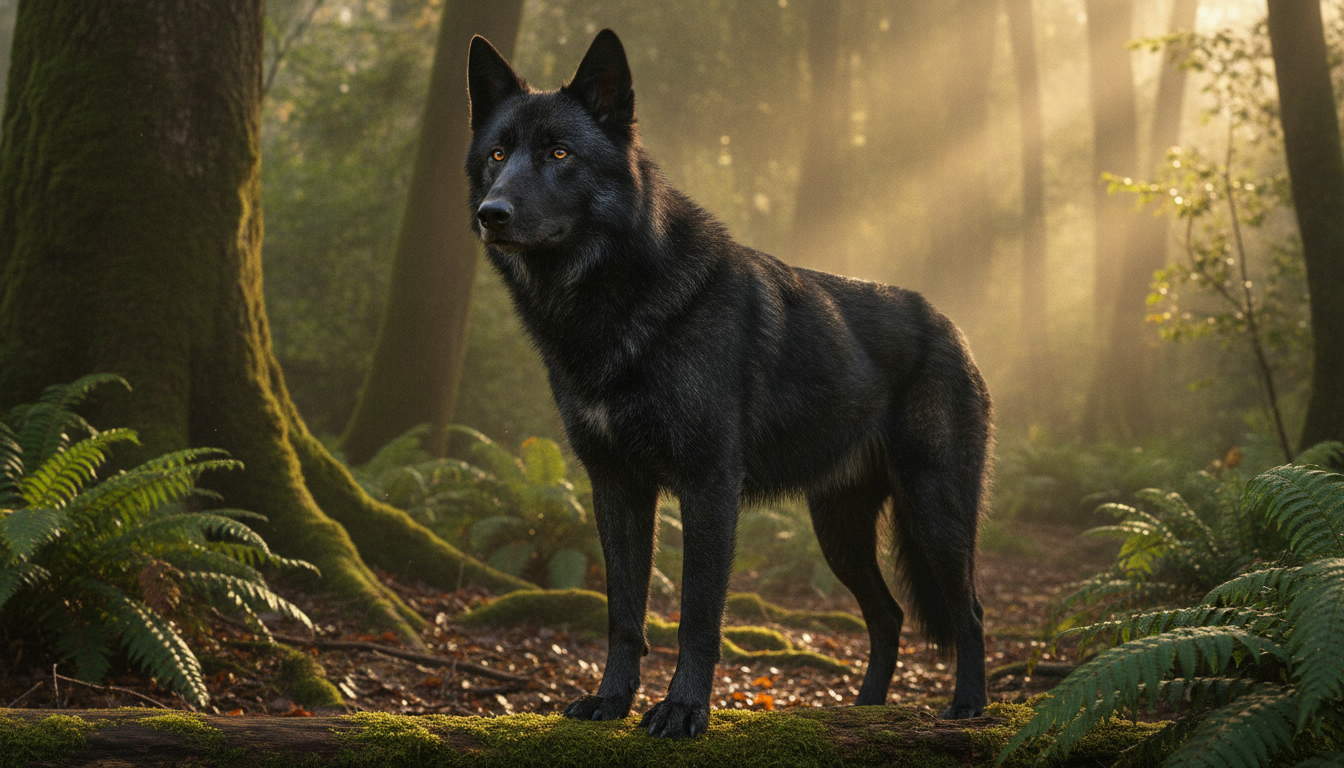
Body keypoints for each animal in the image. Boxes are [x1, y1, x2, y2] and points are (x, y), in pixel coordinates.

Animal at [465, 30, 992, 738]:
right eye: (498, 153)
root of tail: (952, 327)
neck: (613, 309)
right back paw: (862, 710)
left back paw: (968, 705)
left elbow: (697, 617)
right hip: (840, 532)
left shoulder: (707, 485)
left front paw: (684, 710)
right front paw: (610, 702)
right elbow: (624, 614)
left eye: (559, 153)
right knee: (888, 616)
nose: (490, 214)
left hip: (935, 513)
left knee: (969, 613)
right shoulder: (616, 487)